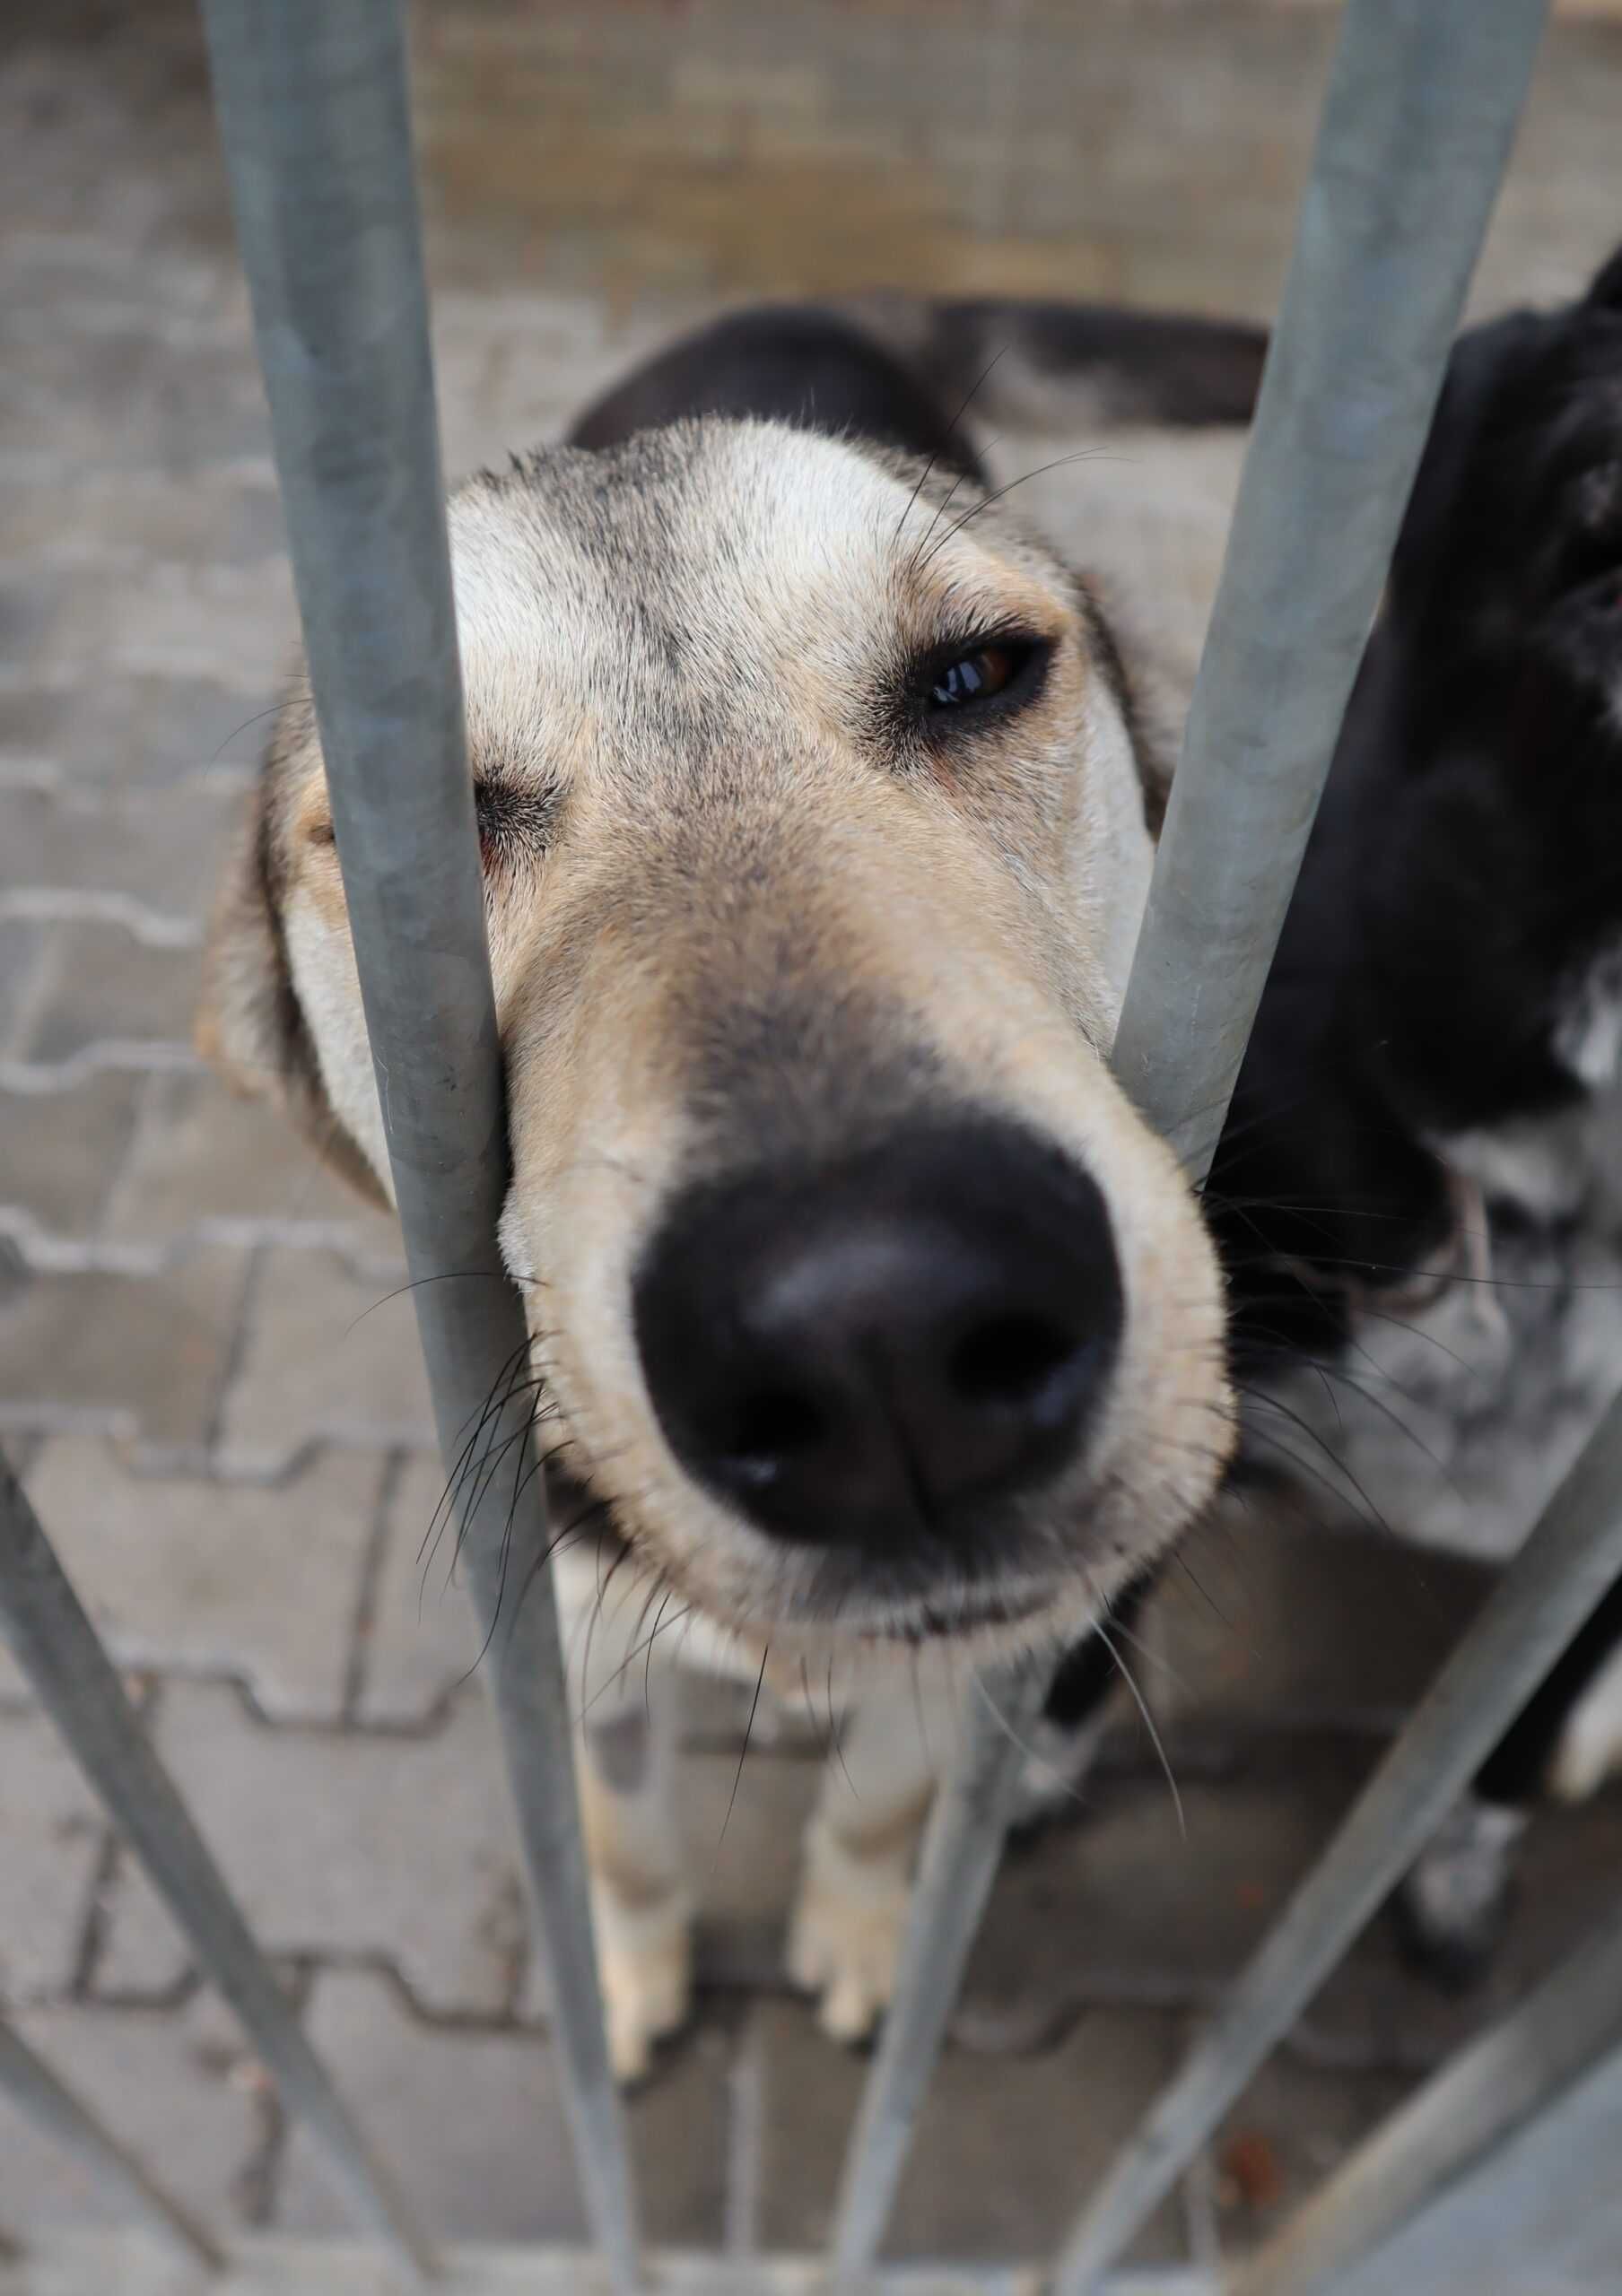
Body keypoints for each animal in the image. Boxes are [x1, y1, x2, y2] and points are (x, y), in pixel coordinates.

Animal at [198, 256, 1617, 2084]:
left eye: (974, 677)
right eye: (407, 848)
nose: (877, 1339)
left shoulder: (981, 1665)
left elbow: (878, 1810)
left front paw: (863, 1941)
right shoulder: (576, 1648)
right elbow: (625, 1833)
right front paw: (636, 1972)